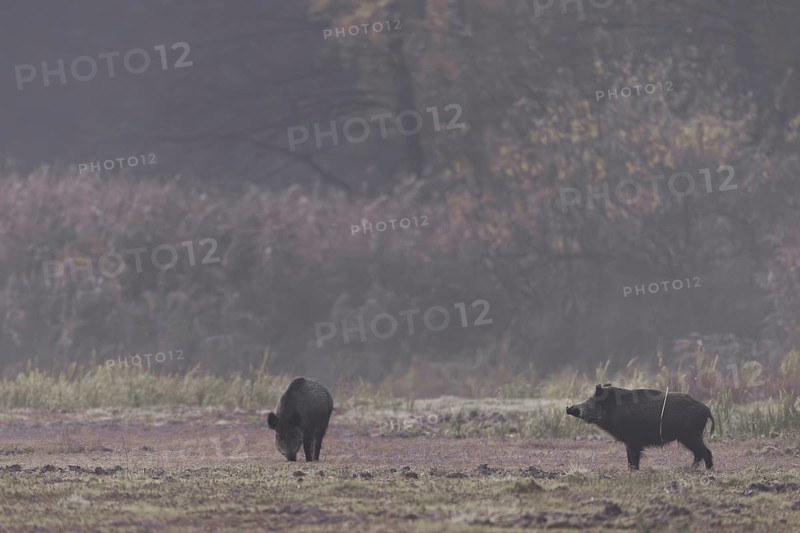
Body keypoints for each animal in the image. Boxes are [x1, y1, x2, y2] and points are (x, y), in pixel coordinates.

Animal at [566, 383, 714, 470]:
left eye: (590, 399)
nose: (568, 408)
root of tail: (707, 410)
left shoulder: (633, 440)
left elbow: (634, 458)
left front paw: (633, 472)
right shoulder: (628, 441)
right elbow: (629, 459)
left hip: (690, 435)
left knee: (705, 452)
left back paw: (705, 470)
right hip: (689, 437)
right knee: (698, 453)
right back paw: (691, 469)